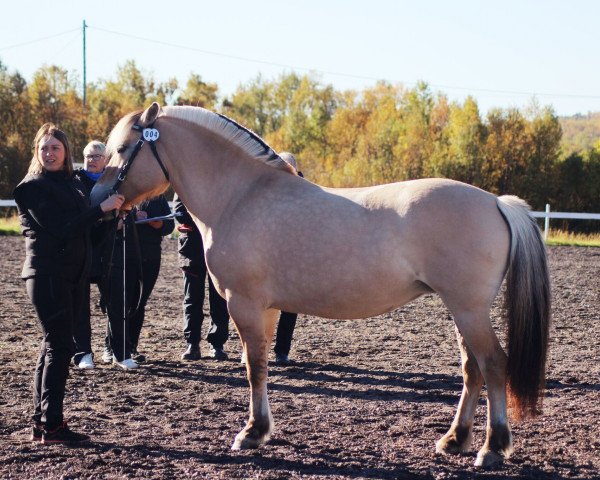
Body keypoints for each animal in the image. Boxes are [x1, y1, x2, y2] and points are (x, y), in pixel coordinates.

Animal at [91, 103, 552, 466]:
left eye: (123, 149)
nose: (97, 200)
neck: (241, 195)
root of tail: (496, 202)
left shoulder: (244, 304)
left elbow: (253, 367)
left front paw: (252, 433)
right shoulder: (266, 309)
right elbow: (259, 366)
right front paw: (261, 429)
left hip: (468, 309)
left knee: (493, 364)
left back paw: (492, 448)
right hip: (460, 310)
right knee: (472, 368)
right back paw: (454, 440)